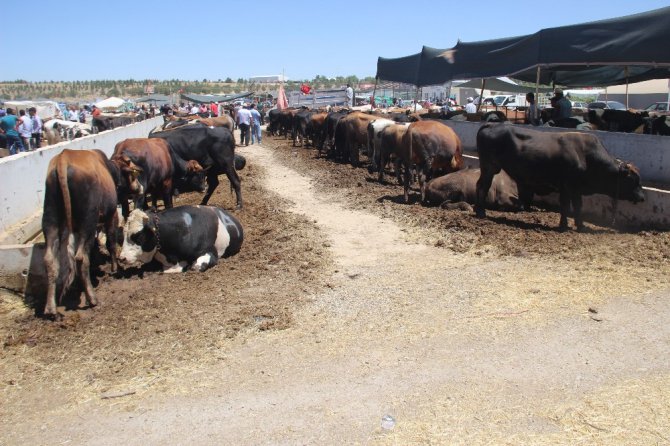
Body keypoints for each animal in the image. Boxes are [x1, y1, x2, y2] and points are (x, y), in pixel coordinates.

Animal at [41, 151, 142, 320]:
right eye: (133, 173)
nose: (140, 187)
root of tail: (63, 159)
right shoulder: (111, 215)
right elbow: (111, 242)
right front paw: (115, 267)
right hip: (88, 220)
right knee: (81, 257)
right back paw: (92, 298)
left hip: (51, 219)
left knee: (50, 260)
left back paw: (50, 308)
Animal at [476, 123, 648, 232]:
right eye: (633, 180)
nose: (643, 197)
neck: (586, 156)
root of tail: (491, 125)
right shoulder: (566, 185)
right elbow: (565, 206)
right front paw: (564, 225)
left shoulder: (576, 188)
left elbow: (577, 206)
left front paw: (580, 225)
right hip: (489, 167)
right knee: (483, 186)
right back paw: (481, 212)